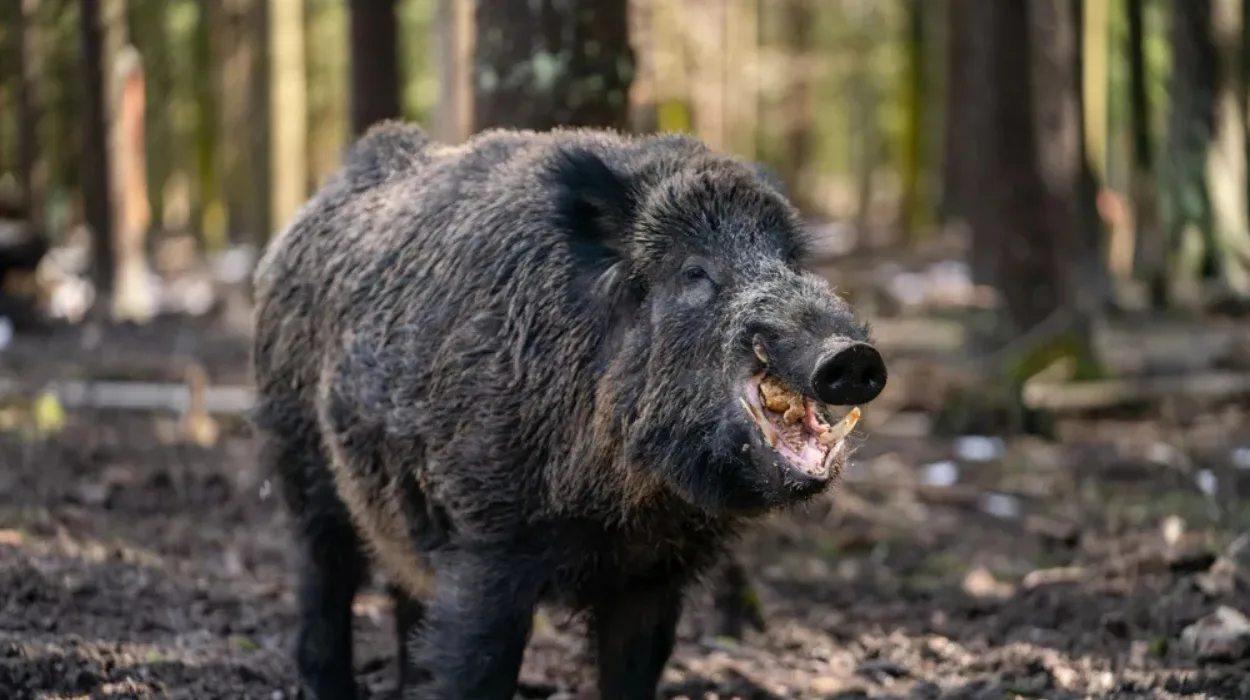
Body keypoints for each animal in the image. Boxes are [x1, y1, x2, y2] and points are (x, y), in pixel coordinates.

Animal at [249, 121, 887, 700]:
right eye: (695, 272)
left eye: (790, 261)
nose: (852, 355)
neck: (626, 503)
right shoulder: (485, 538)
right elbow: (476, 667)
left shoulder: (654, 575)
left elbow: (633, 675)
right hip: (299, 454)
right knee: (322, 584)